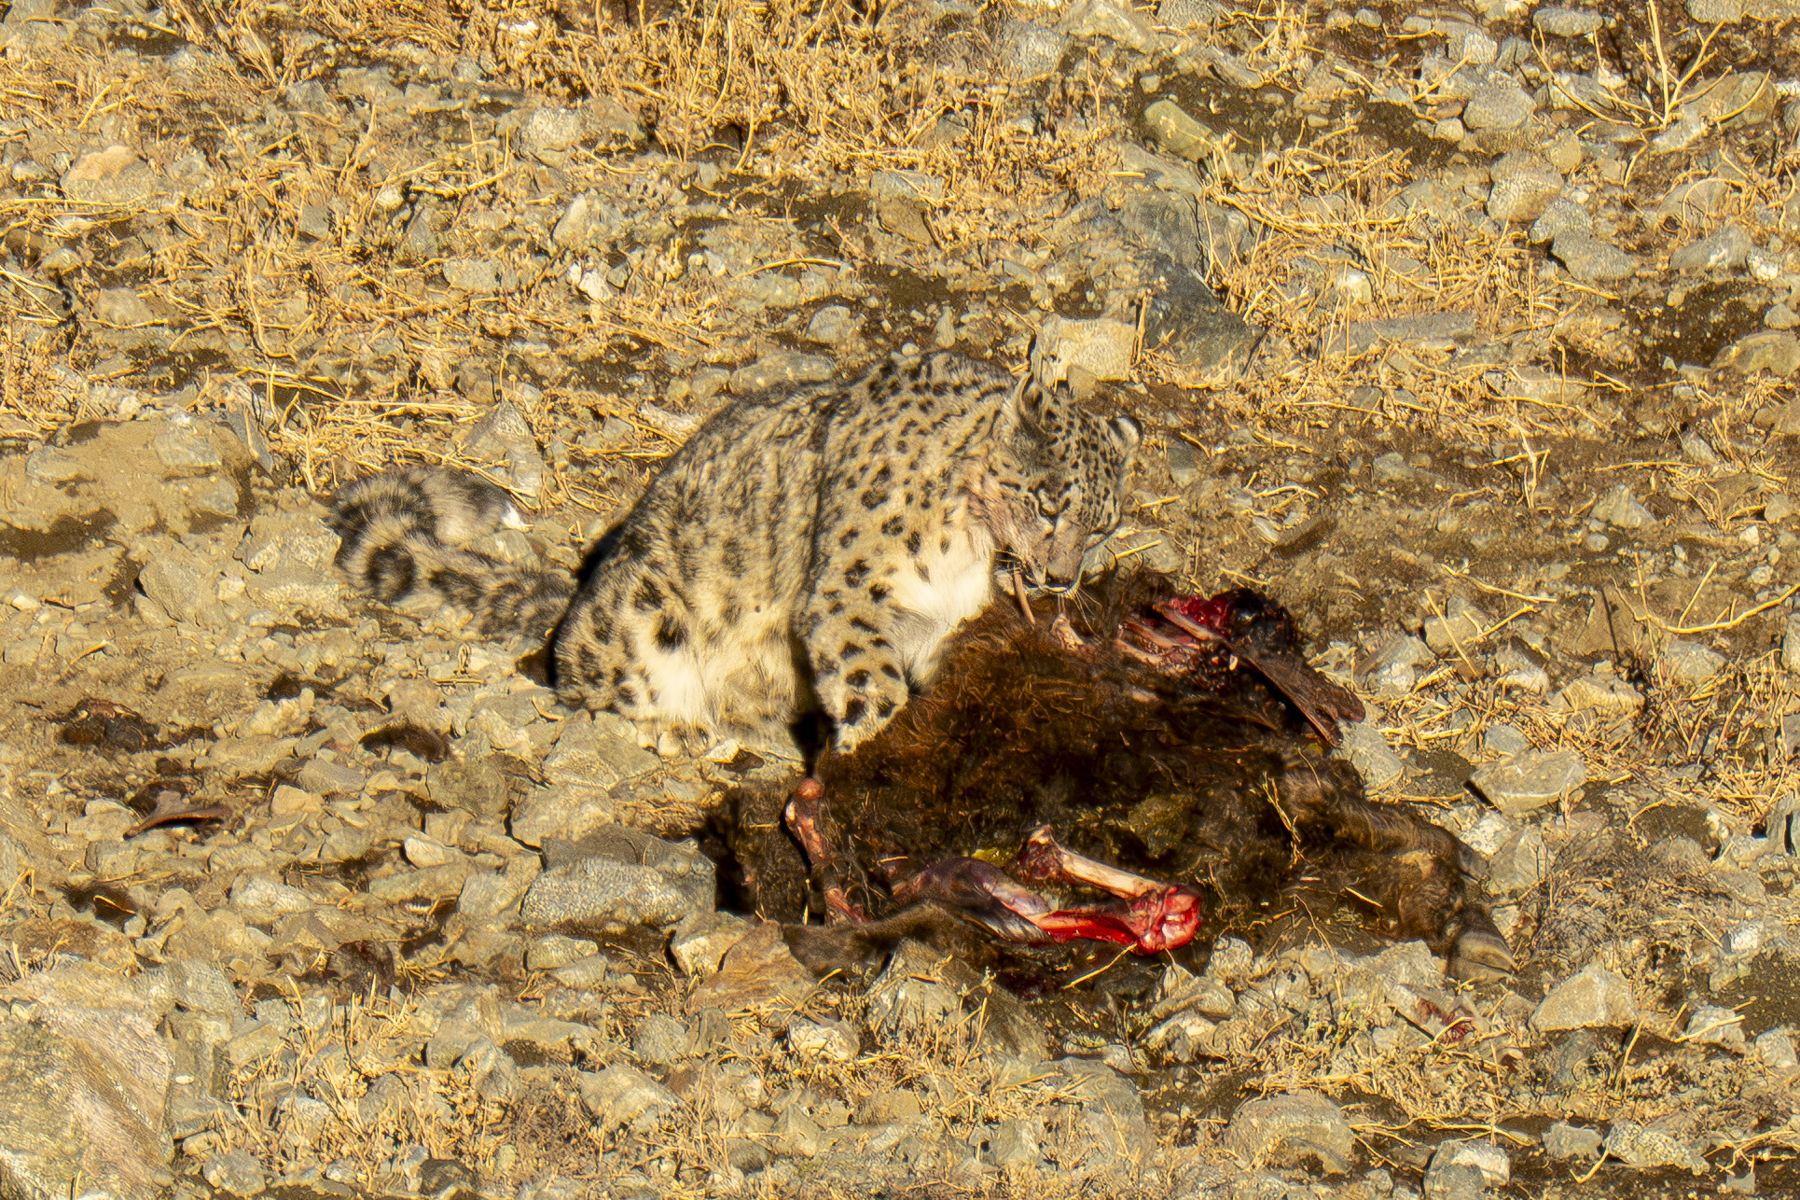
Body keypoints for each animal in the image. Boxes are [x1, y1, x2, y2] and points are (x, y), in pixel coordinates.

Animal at [333, 349, 1141, 757]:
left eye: (1103, 525)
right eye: (1051, 504)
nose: (1061, 578)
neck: (968, 548)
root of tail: (580, 595)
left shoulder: (946, 622)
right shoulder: (852, 590)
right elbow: (871, 679)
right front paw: (868, 749)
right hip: (643, 614)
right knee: (589, 678)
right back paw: (678, 727)